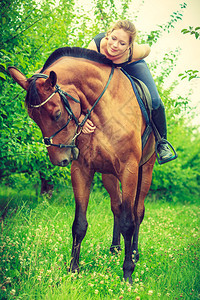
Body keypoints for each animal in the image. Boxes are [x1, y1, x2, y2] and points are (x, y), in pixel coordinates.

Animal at [8, 47, 156, 284]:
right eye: (32, 117)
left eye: (57, 113)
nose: (60, 159)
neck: (105, 110)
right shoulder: (82, 170)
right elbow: (79, 224)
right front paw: (73, 269)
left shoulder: (129, 170)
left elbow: (129, 221)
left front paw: (127, 273)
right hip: (109, 176)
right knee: (117, 206)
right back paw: (115, 248)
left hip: (145, 172)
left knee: (137, 212)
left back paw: (133, 253)